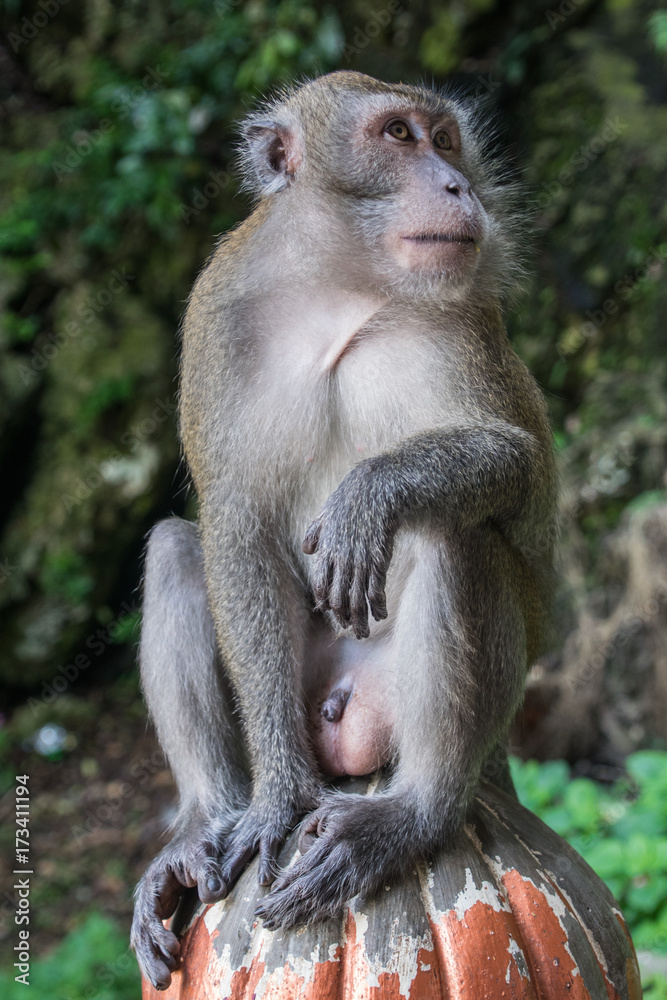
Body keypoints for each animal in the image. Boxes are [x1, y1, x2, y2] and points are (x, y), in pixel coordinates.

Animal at [130, 72, 560, 992]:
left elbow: (512, 463)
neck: (340, 289)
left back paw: (416, 812)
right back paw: (205, 821)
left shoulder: (461, 315)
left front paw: (370, 494)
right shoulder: (216, 316)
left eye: (445, 138)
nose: (456, 185)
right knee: (178, 549)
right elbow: (233, 526)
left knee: (448, 537)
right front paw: (276, 803)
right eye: (398, 135)